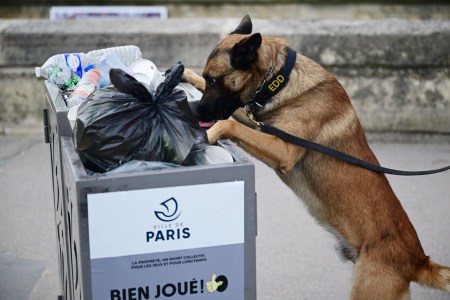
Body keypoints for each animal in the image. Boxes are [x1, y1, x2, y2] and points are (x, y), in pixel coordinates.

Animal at [183, 15, 450, 298]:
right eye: (207, 79)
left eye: (214, 80)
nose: (198, 113)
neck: (278, 78)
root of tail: (418, 260)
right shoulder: (259, 122)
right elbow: (236, 117)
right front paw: (186, 74)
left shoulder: (283, 150)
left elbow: (229, 125)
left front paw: (208, 135)